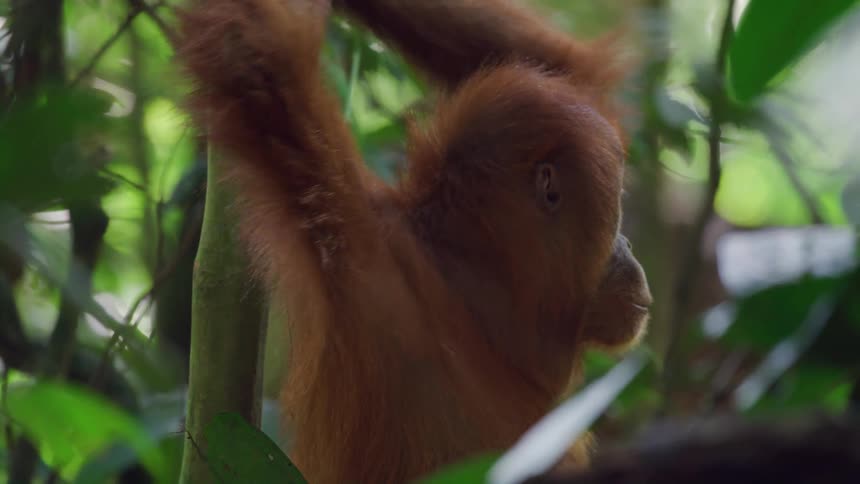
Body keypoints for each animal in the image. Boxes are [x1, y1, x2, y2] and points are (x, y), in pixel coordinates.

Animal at [177, 0, 651, 482]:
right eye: (618, 207)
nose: (629, 245)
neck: (475, 302)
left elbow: (569, 70)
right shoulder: (353, 236)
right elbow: (256, 55)